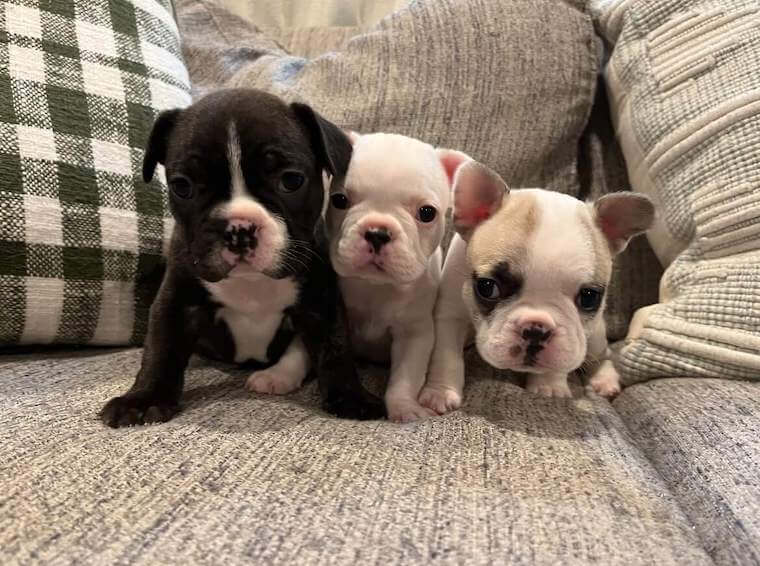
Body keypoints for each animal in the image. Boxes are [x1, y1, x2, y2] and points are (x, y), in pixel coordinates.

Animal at [99, 87, 386, 426]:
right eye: (182, 186)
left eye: (291, 181)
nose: (238, 228)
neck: (251, 283)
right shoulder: (176, 301)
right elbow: (161, 347)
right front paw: (143, 399)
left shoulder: (321, 302)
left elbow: (335, 348)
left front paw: (352, 397)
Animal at [326, 133, 470, 424]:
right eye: (339, 200)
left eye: (427, 213)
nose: (377, 232)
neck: (375, 286)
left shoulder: (414, 334)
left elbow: (405, 378)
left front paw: (404, 408)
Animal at [418, 160, 656, 412]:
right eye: (487, 287)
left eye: (589, 297)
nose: (536, 329)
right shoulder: (450, 315)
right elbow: (447, 356)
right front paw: (441, 393)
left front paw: (548, 387)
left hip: (596, 336)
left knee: (603, 353)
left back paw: (605, 379)